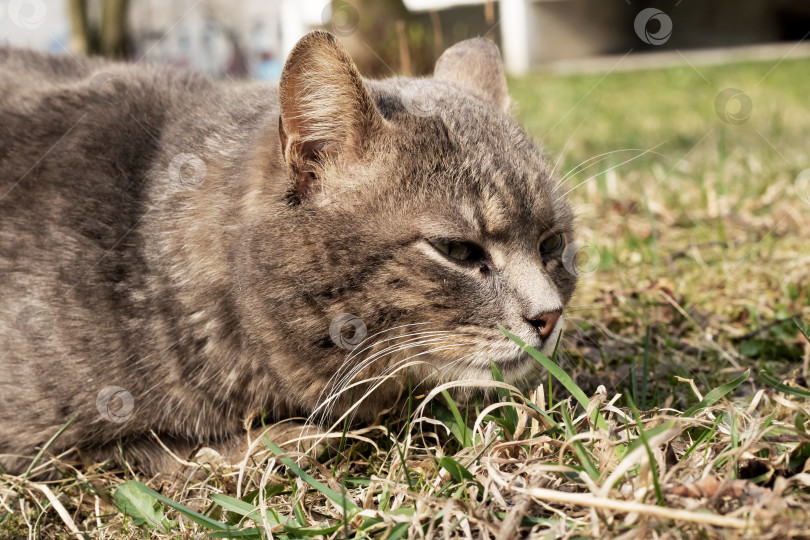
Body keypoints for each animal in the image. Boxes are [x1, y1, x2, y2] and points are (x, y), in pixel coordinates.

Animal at [3, 31, 576, 474]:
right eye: (456, 250)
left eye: (552, 243)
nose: (549, 317)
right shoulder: (42, 443)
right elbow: (146, 447)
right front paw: (275, 442)